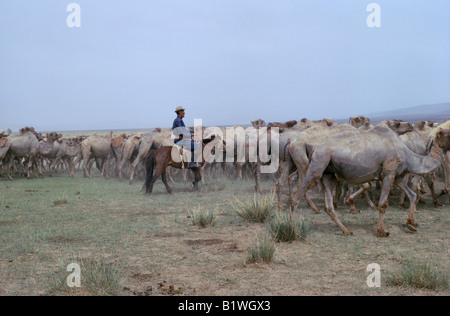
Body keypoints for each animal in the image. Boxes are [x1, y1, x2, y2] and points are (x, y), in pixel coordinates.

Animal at [290, 122, 448, 238]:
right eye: (448, 133)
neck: (408, 154)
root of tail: (315, 148)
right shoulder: (389, 171)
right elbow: (383, 204)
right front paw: (381, 231)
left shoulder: (396, 176)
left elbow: (413, 195)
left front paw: (411, 224)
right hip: (317, 165)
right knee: (298, 196)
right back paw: (292, 229)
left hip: (328, 172)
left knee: (328, 205)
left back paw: (346, 230)